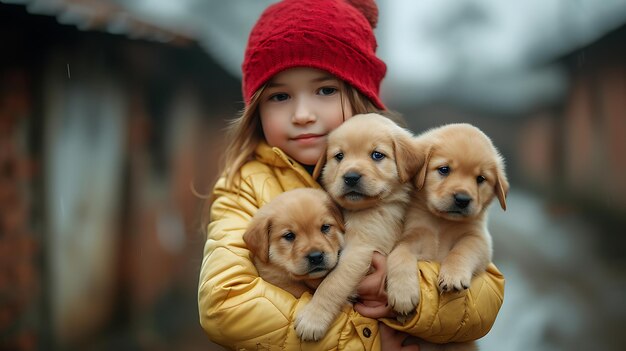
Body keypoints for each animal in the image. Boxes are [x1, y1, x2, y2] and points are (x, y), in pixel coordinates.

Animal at [292, 113, 420, 340]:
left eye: (377, 155)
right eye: (339, 156)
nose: (351, 177)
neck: (353, 211)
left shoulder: (360, 249)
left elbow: (332, 283)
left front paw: (312, 319)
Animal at [386, 124, 508, 351]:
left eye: (480, 179)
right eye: (444, 170)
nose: (462, 199)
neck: (440, 223)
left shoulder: (479, 239)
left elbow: (462, 249)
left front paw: (453, 276)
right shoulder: (411, 236)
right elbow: (399, 255)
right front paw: (403, 293)